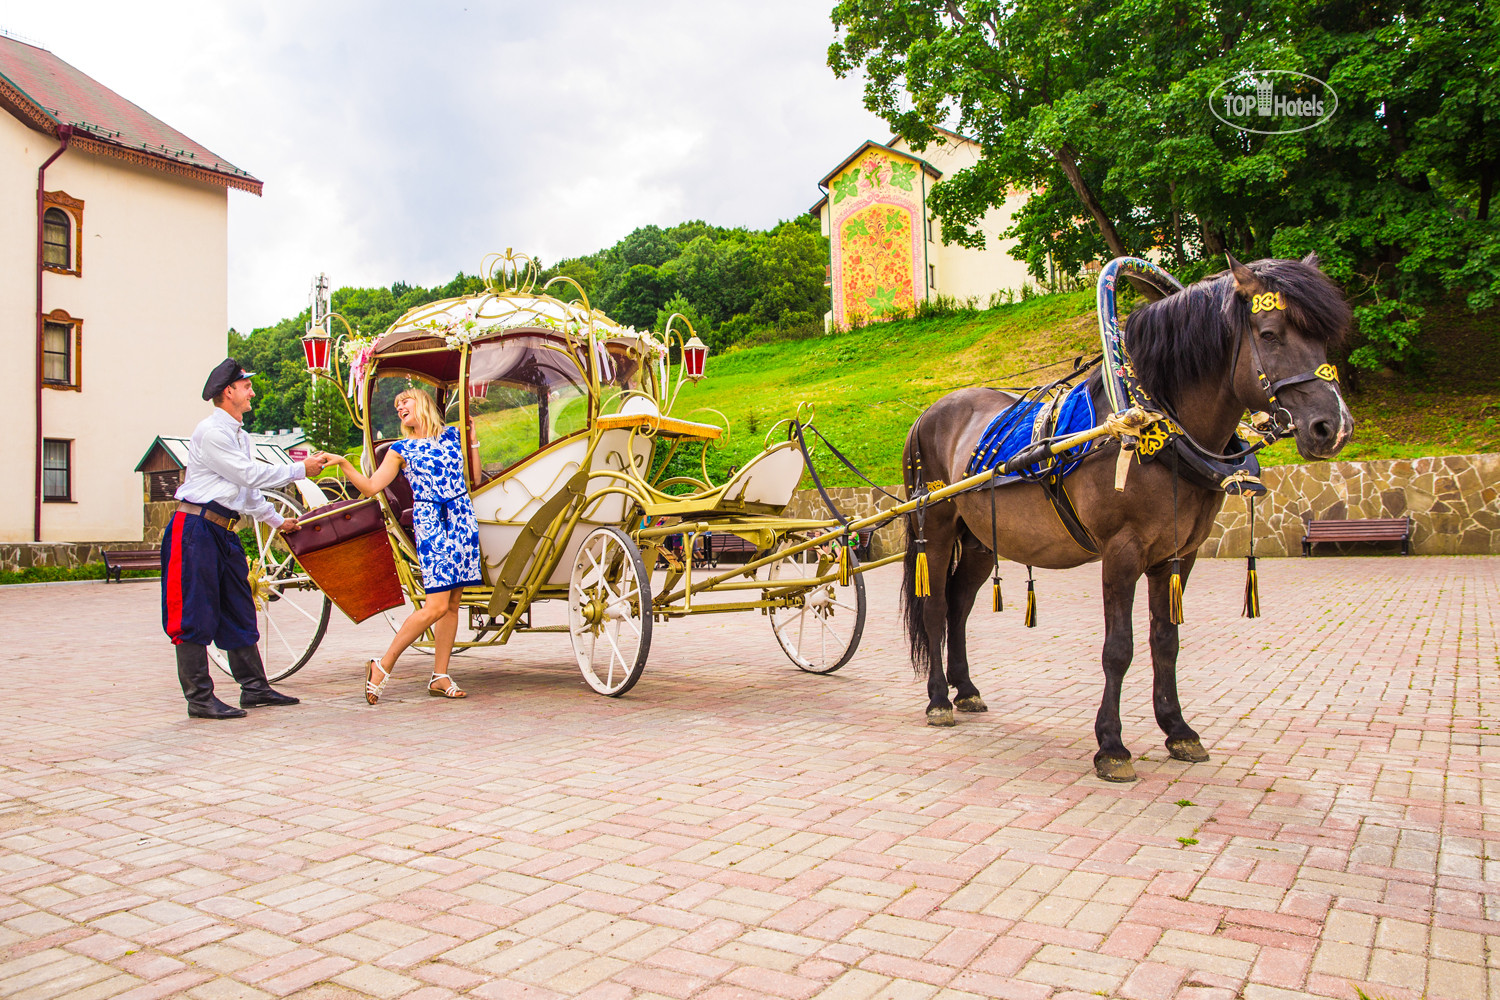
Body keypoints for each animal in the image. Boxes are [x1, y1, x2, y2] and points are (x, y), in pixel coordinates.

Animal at [900, 251, 1362, 779]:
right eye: (1269, 334)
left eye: (1322, 339)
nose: (1333, 427)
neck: (1154, 424)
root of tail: (927, 414)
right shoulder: (1122, 552)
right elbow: (1119, 648)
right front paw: (1111, 744)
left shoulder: (1178, 554)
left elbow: (1166, 642)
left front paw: (1178, 730)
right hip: (934, 527)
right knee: (936, 608)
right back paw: (939, 699)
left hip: (980, 539)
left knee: (959, 606)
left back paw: (966, 689)